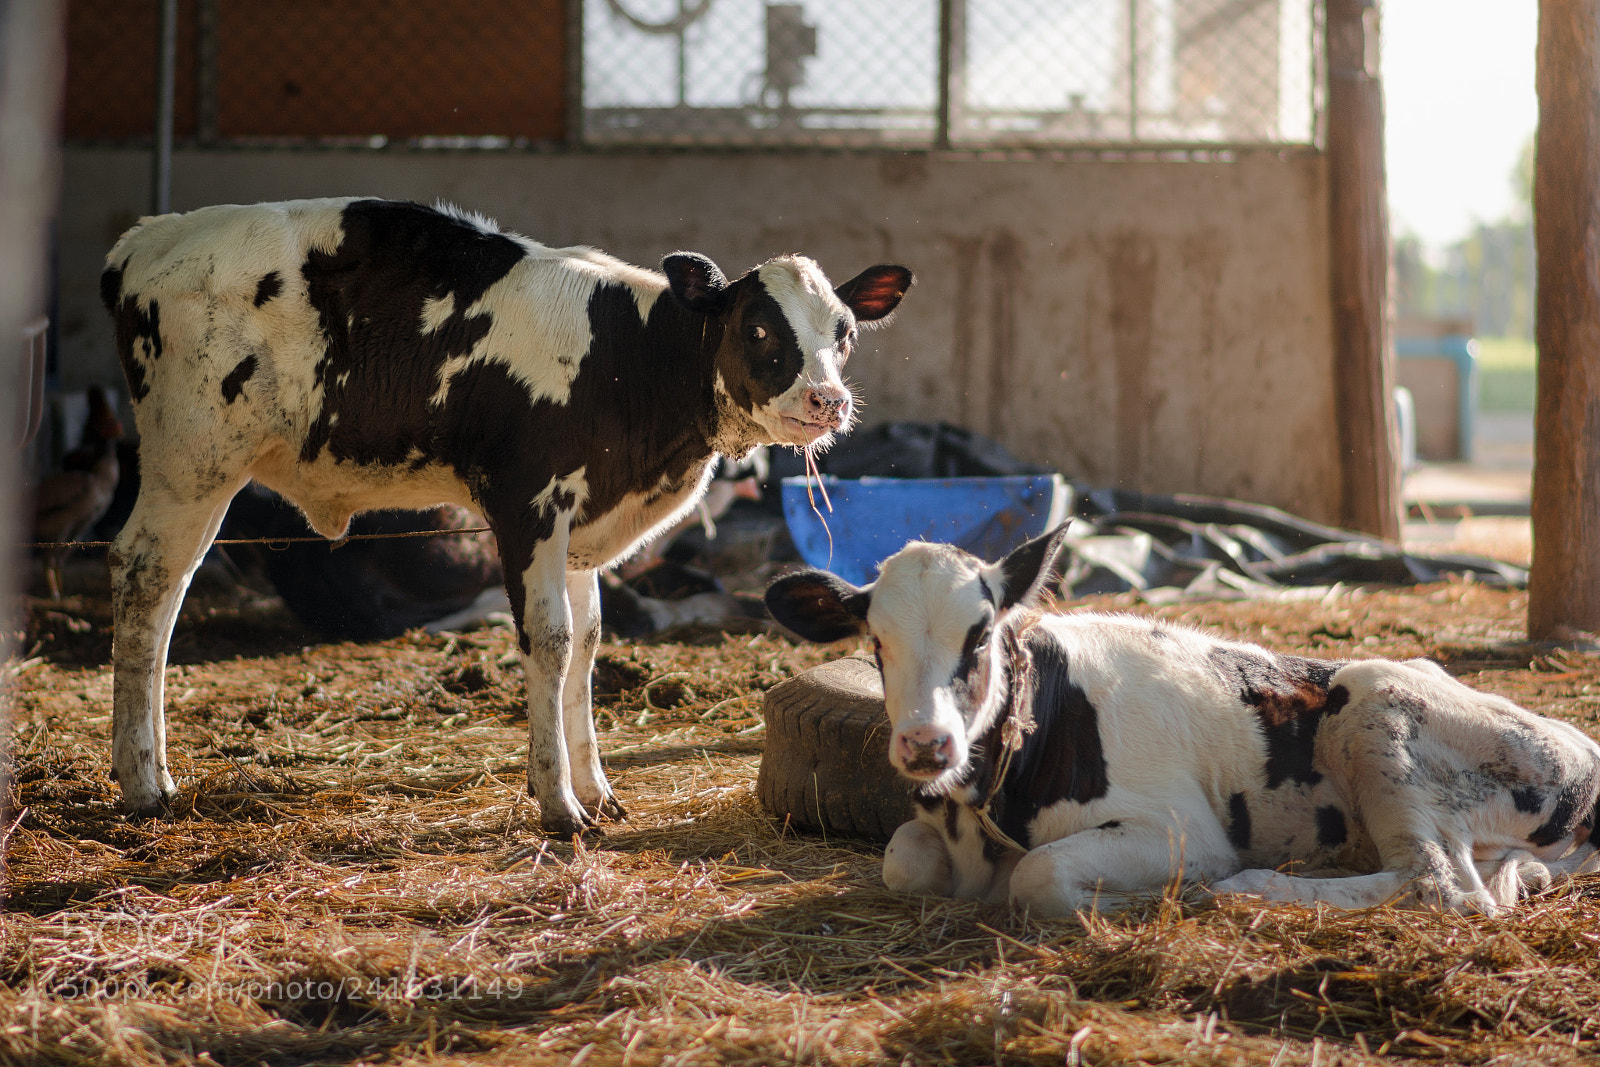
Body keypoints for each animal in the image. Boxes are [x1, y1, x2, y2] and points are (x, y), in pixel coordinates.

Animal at [101, 196, 912, 835]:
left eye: (844, 331)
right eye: (759, 329)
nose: (828, 400)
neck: (626, 358)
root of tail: (147, 239)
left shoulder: (581, 529)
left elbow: (588, 642)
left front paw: (598, 789)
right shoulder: (528, 505)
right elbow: (550, 640)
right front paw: (559, 803)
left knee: (168, 593)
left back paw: (152, 769)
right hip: (192, 462)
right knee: (144, 580)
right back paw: (143, 782)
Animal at [765, 527, 1600, 916]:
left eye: (979, 633)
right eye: (875, 642)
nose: (924, 744)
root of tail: (1581, 747)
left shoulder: (1180, 828)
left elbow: (1039, 875)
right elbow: (901, 858)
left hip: (1378, 707)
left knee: (1444, 886)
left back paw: (1248, 884)